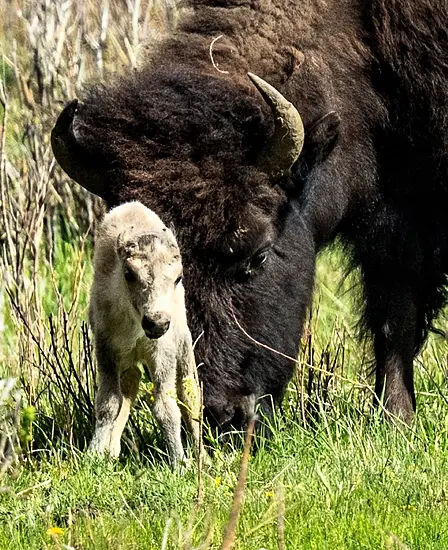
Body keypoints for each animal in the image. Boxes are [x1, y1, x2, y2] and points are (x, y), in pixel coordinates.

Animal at [51, 0, 444, 430]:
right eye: (131, 271)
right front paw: (396, 417)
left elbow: (396, 315)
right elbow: (392, 311)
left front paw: (395, 418)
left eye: (259, 255)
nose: (220, 413)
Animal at [88, 201, 200, 468]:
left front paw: (180, 463)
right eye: (129, 274)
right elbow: (109, 402)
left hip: (184, 346)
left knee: (190, 394)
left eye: (178, 277)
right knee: (131, 383)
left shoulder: (162, 354)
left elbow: (166, 407)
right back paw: (112, 450)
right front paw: (94, 454)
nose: (156, 323)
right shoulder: (106, 350)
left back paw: (206, 455)